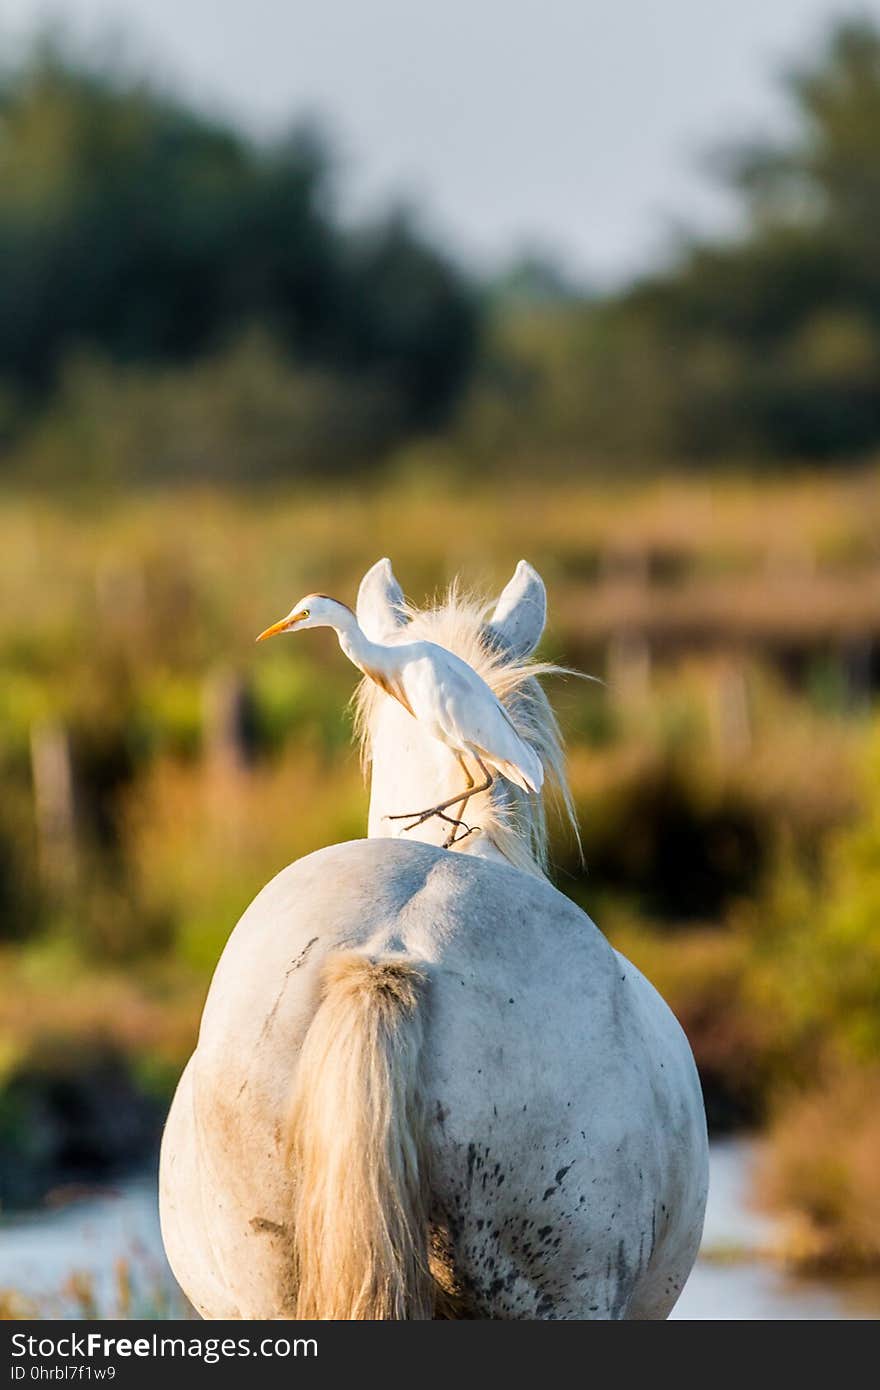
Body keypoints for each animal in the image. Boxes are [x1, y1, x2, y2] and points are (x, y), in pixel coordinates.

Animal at [159, 558, 706, 1317]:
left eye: (303, 613)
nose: (274, 628)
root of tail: (384, 958)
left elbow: (474, 779)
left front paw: (427, 818)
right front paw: (429, 819)